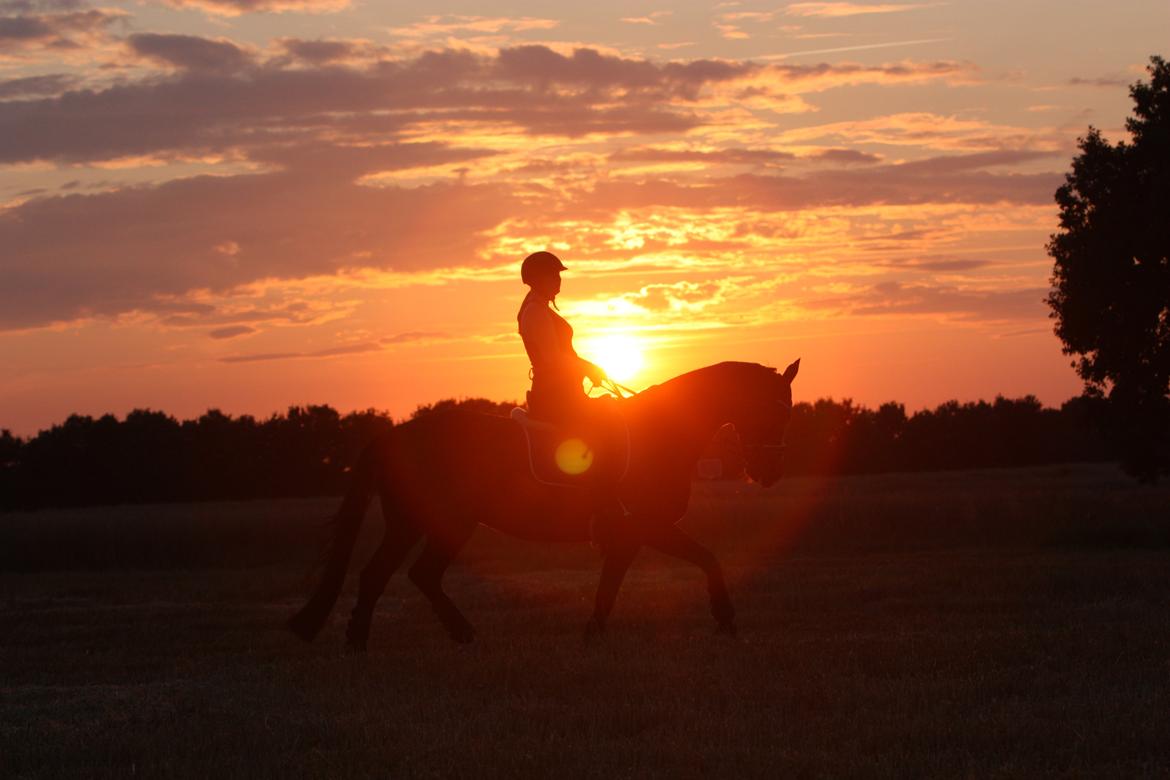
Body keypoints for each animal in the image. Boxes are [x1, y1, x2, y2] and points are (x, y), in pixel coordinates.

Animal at [287, 357, 800, 650]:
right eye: (772, 409)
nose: (769, 474)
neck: (661, 433)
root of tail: (396, 435)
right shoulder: (649, 525)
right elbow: (707, 558)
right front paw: (726, 619)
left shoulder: (629, 535)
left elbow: (611, 584)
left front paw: (593, 634)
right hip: (446, 523)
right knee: (411, 574)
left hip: (412, 522)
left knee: (389, 575)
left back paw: (378, 638)